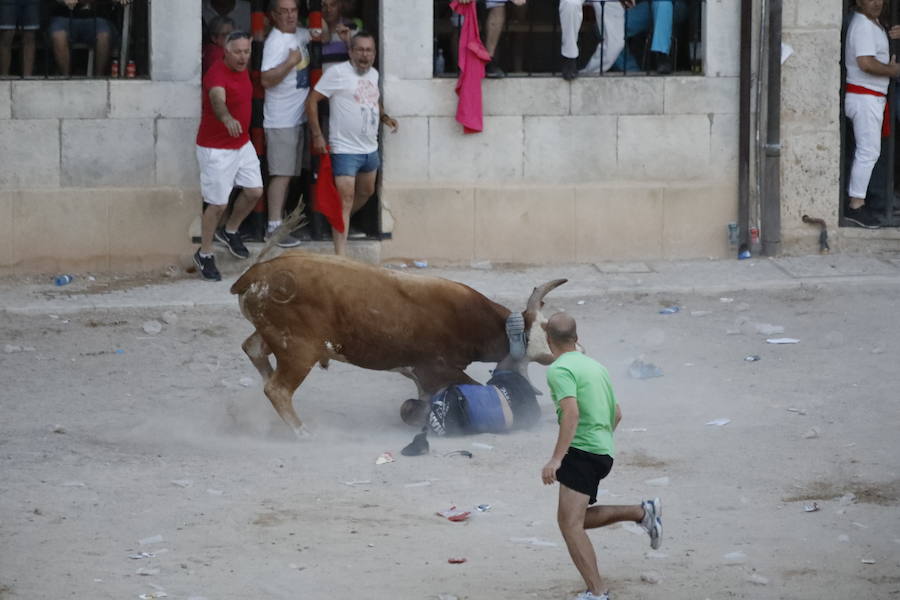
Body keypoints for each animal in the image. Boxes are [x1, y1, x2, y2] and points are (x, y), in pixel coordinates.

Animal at [236, 251, 568, 438]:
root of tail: (257, 274)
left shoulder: (425, 379)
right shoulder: (437, 370)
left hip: (273, 337)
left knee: (252, 349)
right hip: (299, 350)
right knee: (277, 389)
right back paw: (302, 431)